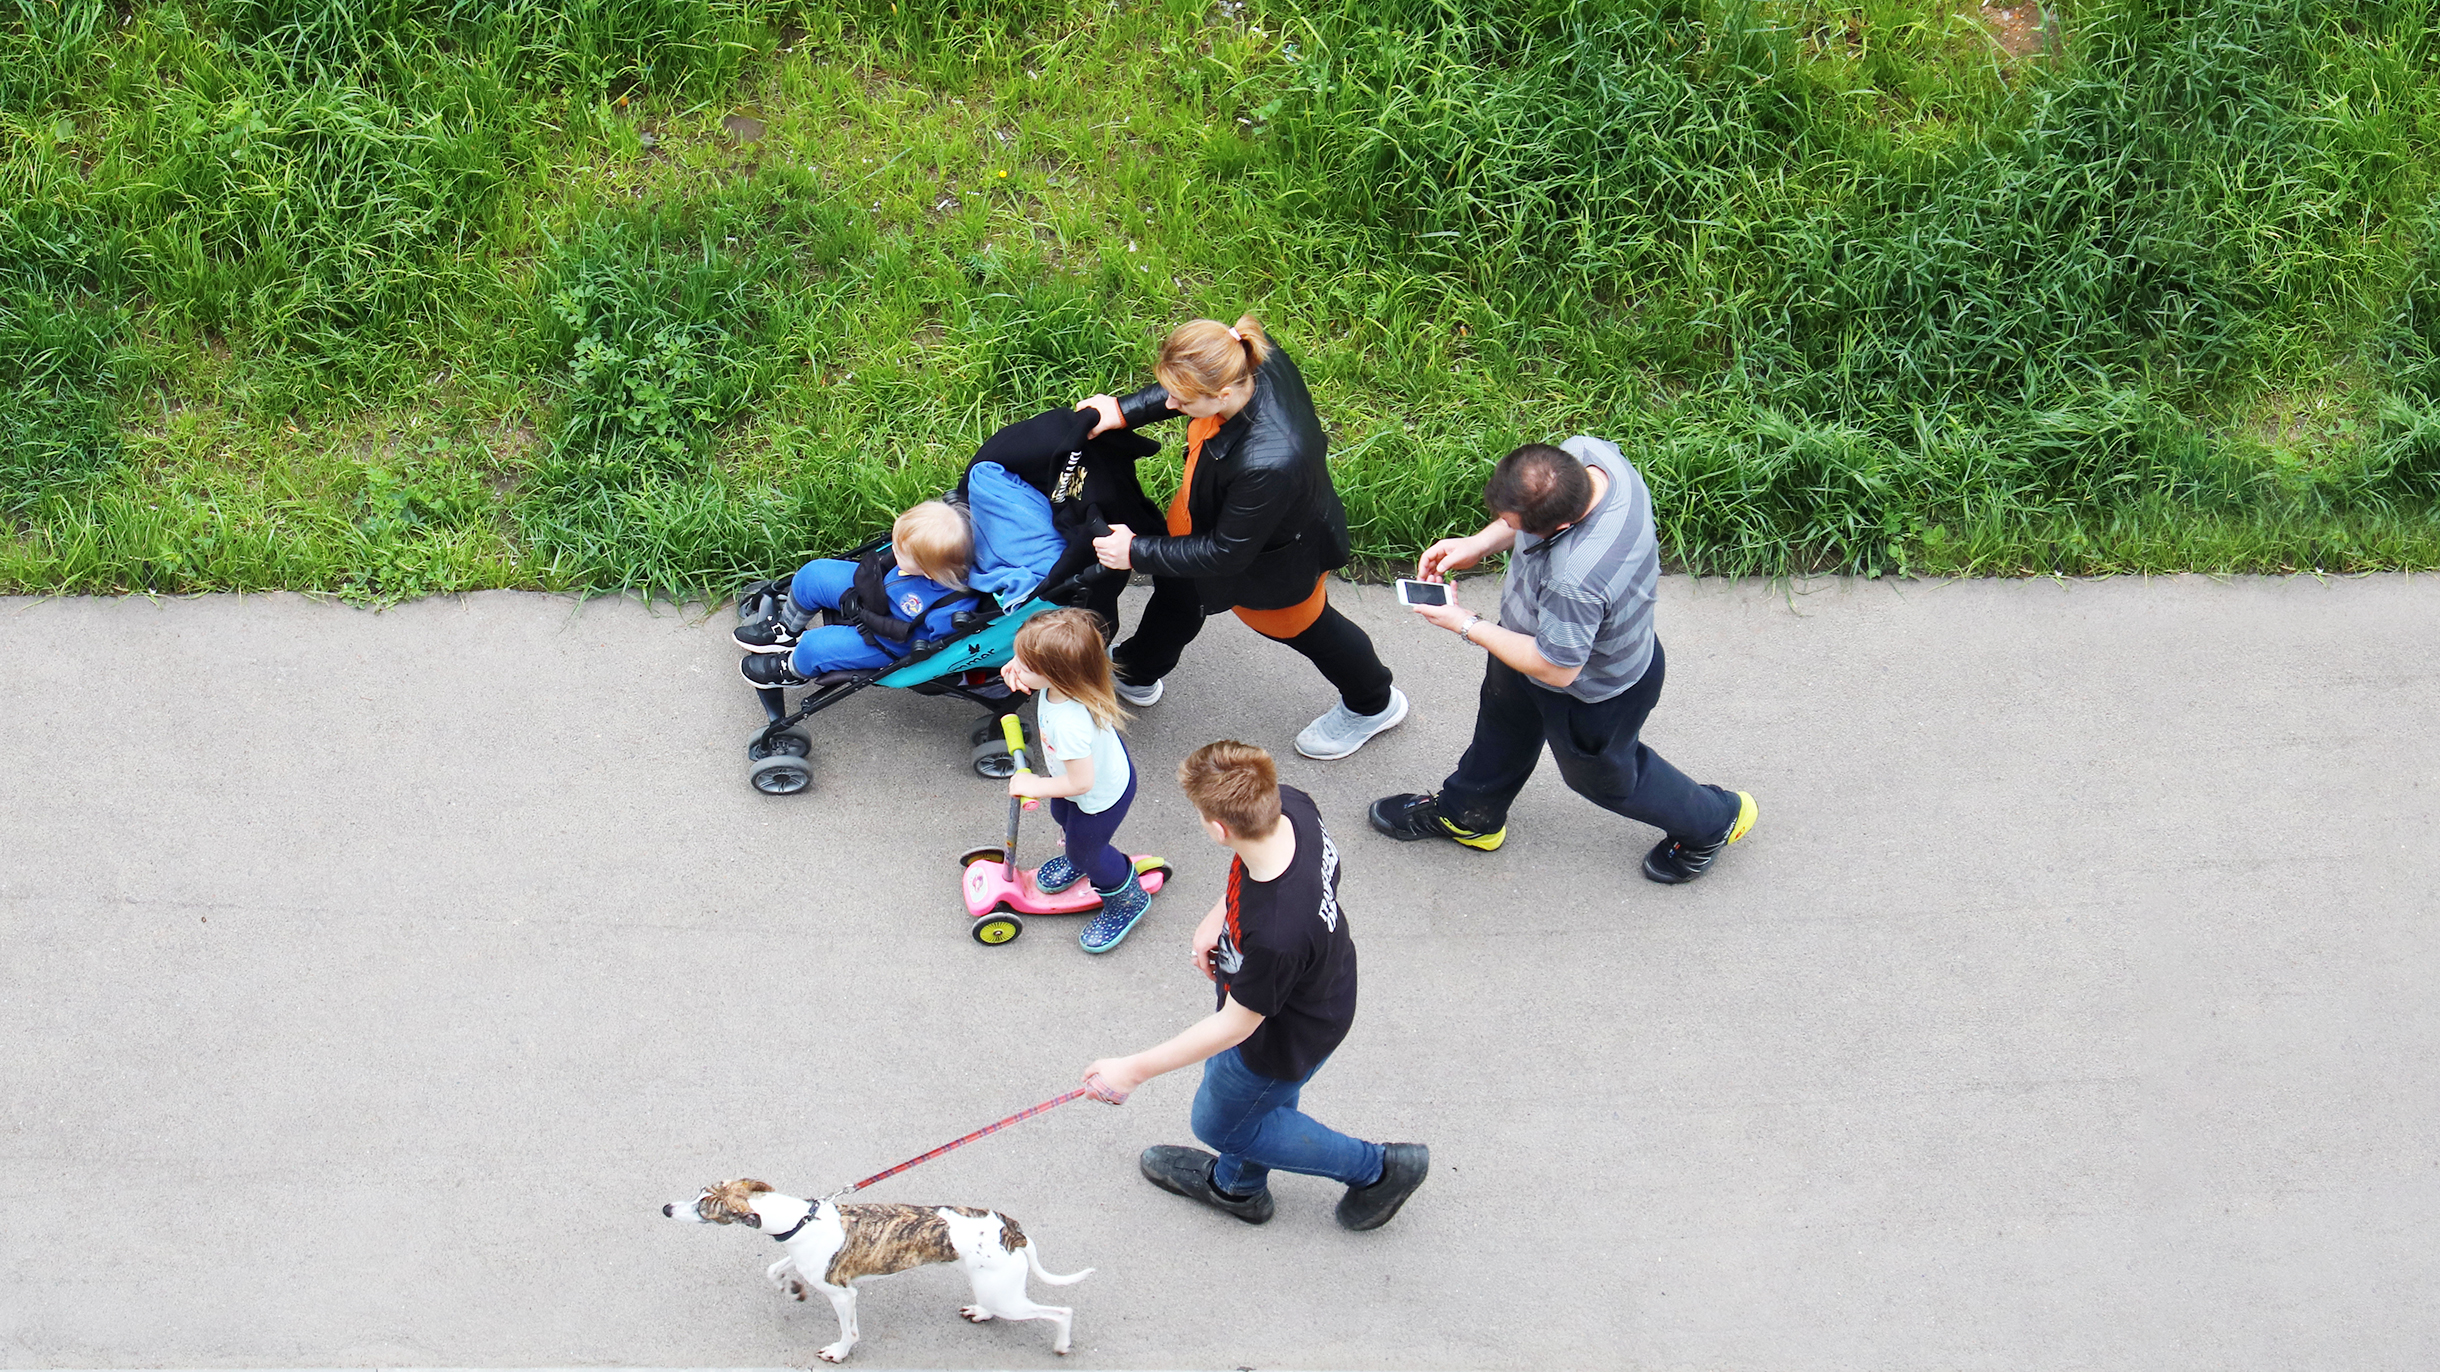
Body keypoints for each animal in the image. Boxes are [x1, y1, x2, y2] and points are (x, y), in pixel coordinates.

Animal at [663, 1176, 1093, 1357]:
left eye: (704, 1208)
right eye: (699, 1192)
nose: (666, 1208)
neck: (800, 1218)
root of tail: (1012, 1230)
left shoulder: (842, 1293)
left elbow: (849, 1331)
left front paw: (839, 1352)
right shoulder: (811, 1262)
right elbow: (775, 1270)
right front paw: (791, 1288)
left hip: (1008, 1295)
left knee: (1061, 1311)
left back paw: (1061, 1345)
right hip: (994, 1287)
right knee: (998, 1304)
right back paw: (982, 1312)